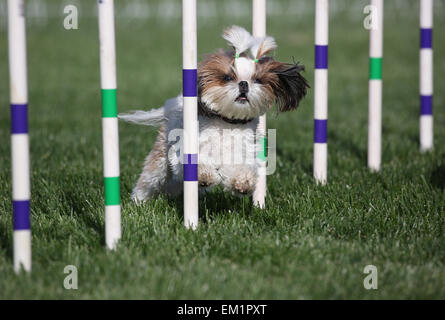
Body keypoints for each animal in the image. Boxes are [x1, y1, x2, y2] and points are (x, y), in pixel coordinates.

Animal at [119, 26, 308, 201]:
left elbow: (242, 169)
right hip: (160, 159)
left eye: (258, 80)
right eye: (227, 78)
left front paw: (243, 183)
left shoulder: (242, 152)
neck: (227, 123)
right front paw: (204, 175)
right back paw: (139, 200)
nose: (244, 84)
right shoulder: (186, 149)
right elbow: (194, 162)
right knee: (150, 178)